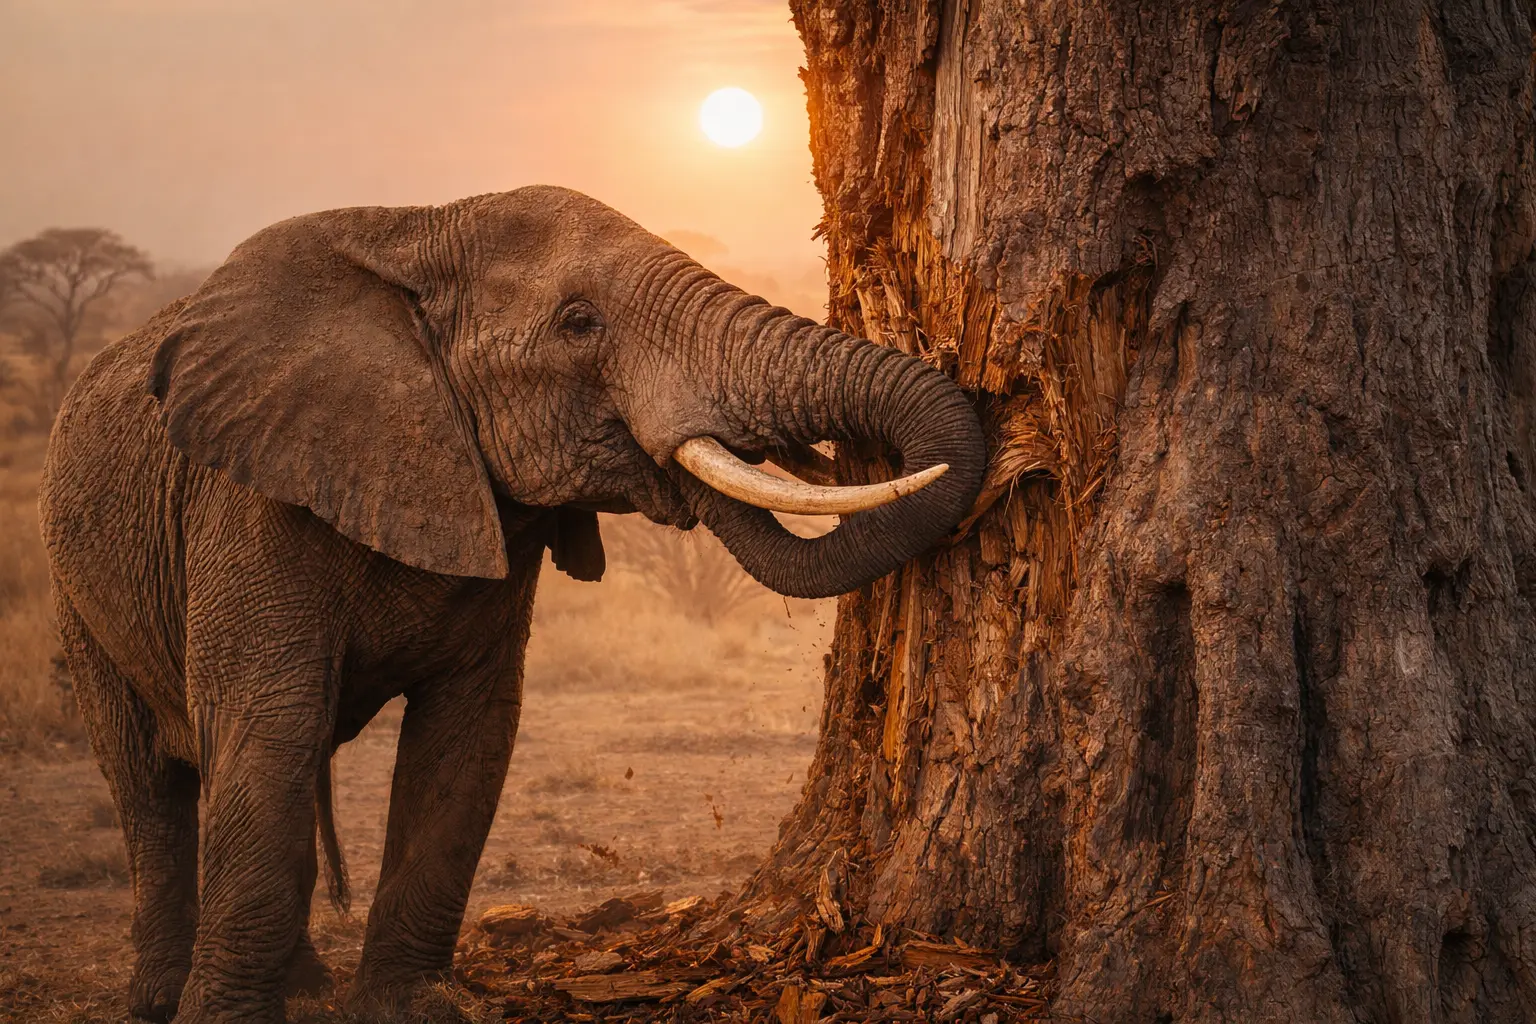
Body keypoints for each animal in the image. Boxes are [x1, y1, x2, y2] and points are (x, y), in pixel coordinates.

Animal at [38, 186, 984, 1023]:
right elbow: (270, 729)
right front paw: (228, 1017)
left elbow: (466, 741)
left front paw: (412, 1009)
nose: (985, 408)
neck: (418, 227)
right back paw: (160, 996)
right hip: (73, 590)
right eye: (578, 323)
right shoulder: (254, 506)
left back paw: (302, 986)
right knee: (150, 785)